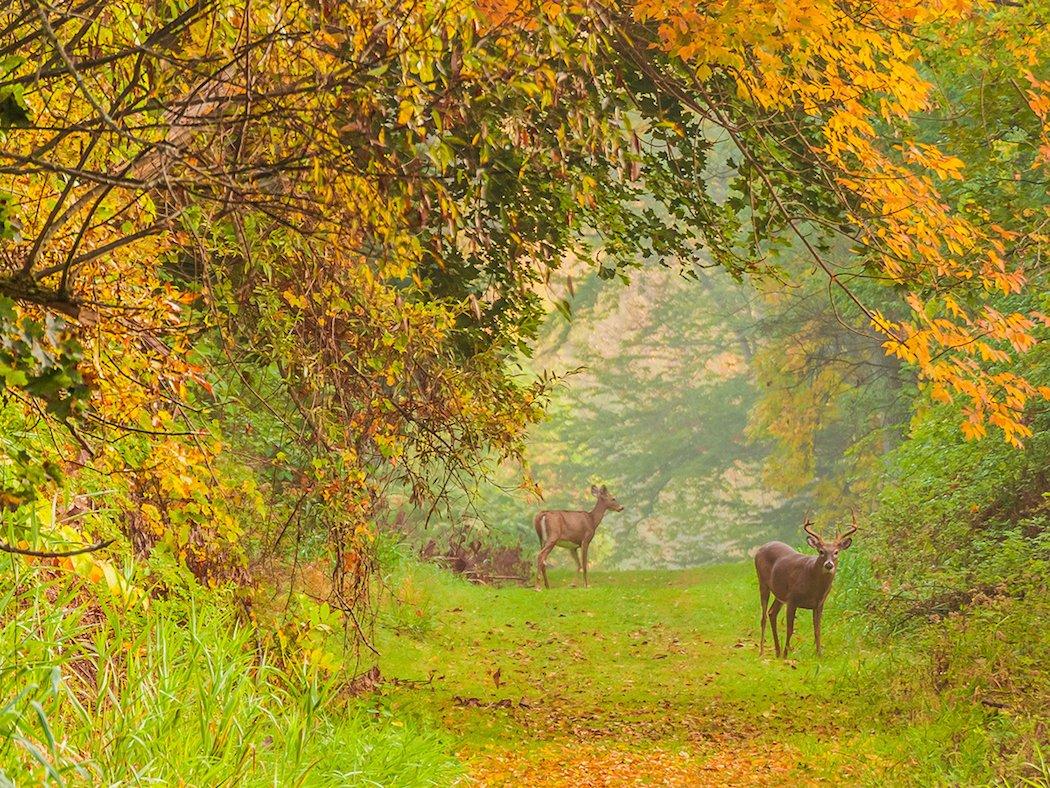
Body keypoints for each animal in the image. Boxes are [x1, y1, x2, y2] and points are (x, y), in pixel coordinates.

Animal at [755, 514, 860, 655]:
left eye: (836, 552)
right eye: (821, 551)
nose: (829, 565)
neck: (814, 588)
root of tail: (760, 549)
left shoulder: (819, 604)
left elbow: (817, 629)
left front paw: (819, 654)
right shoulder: (792, 599)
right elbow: (790, 629)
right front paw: (786, 654)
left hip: (780, 593)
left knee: (772, 613)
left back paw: (777, 652)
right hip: (763, 582)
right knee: (764, 617)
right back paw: (762, 651)